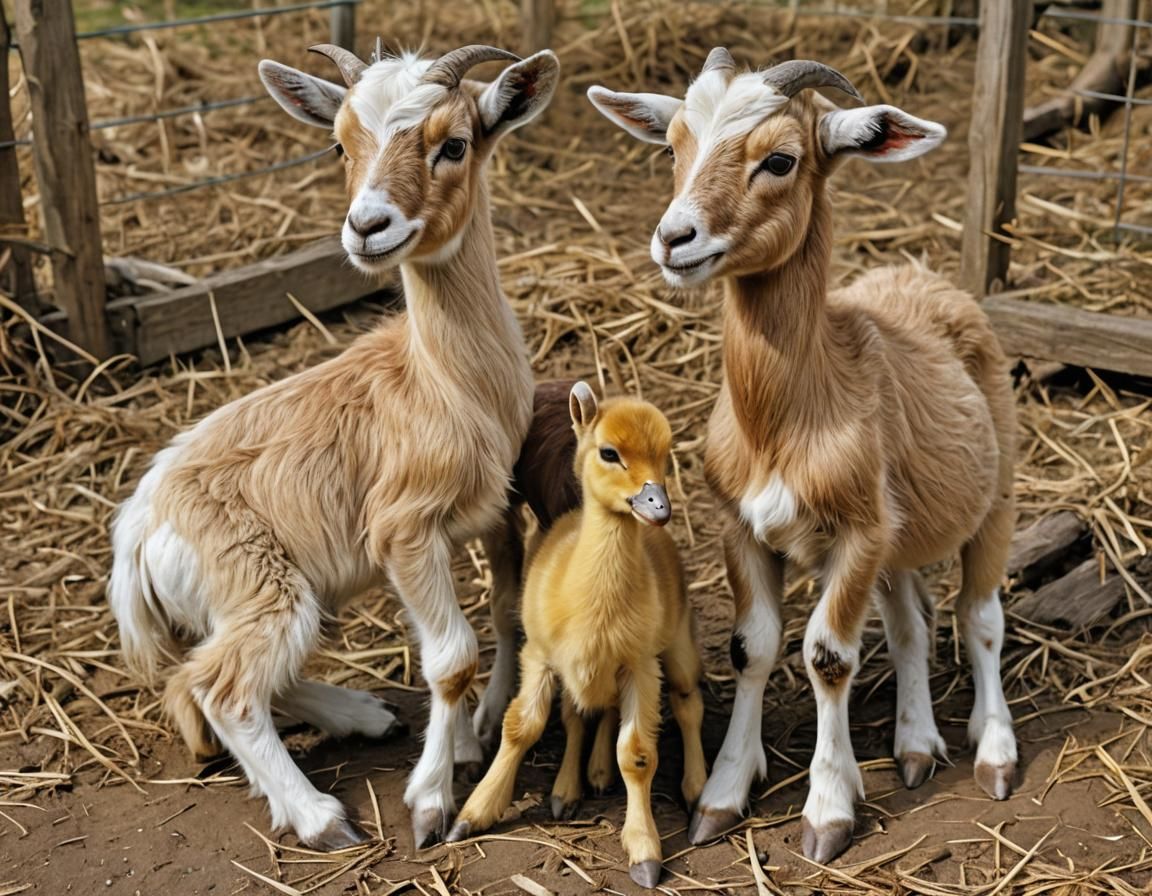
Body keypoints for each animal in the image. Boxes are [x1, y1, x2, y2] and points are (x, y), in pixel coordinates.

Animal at [107, 42, 559, 850]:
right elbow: (450, 656)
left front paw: (473, 738)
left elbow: (506, 611)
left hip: (272, 600)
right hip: (261, 586)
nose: (367, 226)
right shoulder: (403, 528)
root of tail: (135, 535)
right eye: (340, 146)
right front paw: (430, 804)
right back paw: (320, 816)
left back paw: (364, 716)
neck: (445, 385)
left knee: (200, 681)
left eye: (455, 144)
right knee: (220, 688)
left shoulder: (493, 510)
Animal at [447, 382, 706, 890]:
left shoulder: (640, 667)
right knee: (581, 713)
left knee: (688, 702)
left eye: (665, 454)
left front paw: (644, 851)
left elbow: (638, 754)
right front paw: (473, 813)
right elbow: (520, 726)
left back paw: (696, 788)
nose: (659, 507)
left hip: (677, 646)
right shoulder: (540, 657)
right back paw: (574, 785)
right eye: (610, 452)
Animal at [590, 50, 1017, 864]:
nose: (675, 238)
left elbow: (828, 657)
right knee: (913, 623)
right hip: (899, 536)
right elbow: (752, 647)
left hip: (995, 494)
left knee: (980, 616)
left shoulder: (859, 531)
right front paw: (723, 798)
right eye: (673, 146)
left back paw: (995, 751)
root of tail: (923, 275)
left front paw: (826, 813)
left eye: (780, 160)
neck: (787, 422)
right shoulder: (743, 524)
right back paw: (916, 746)